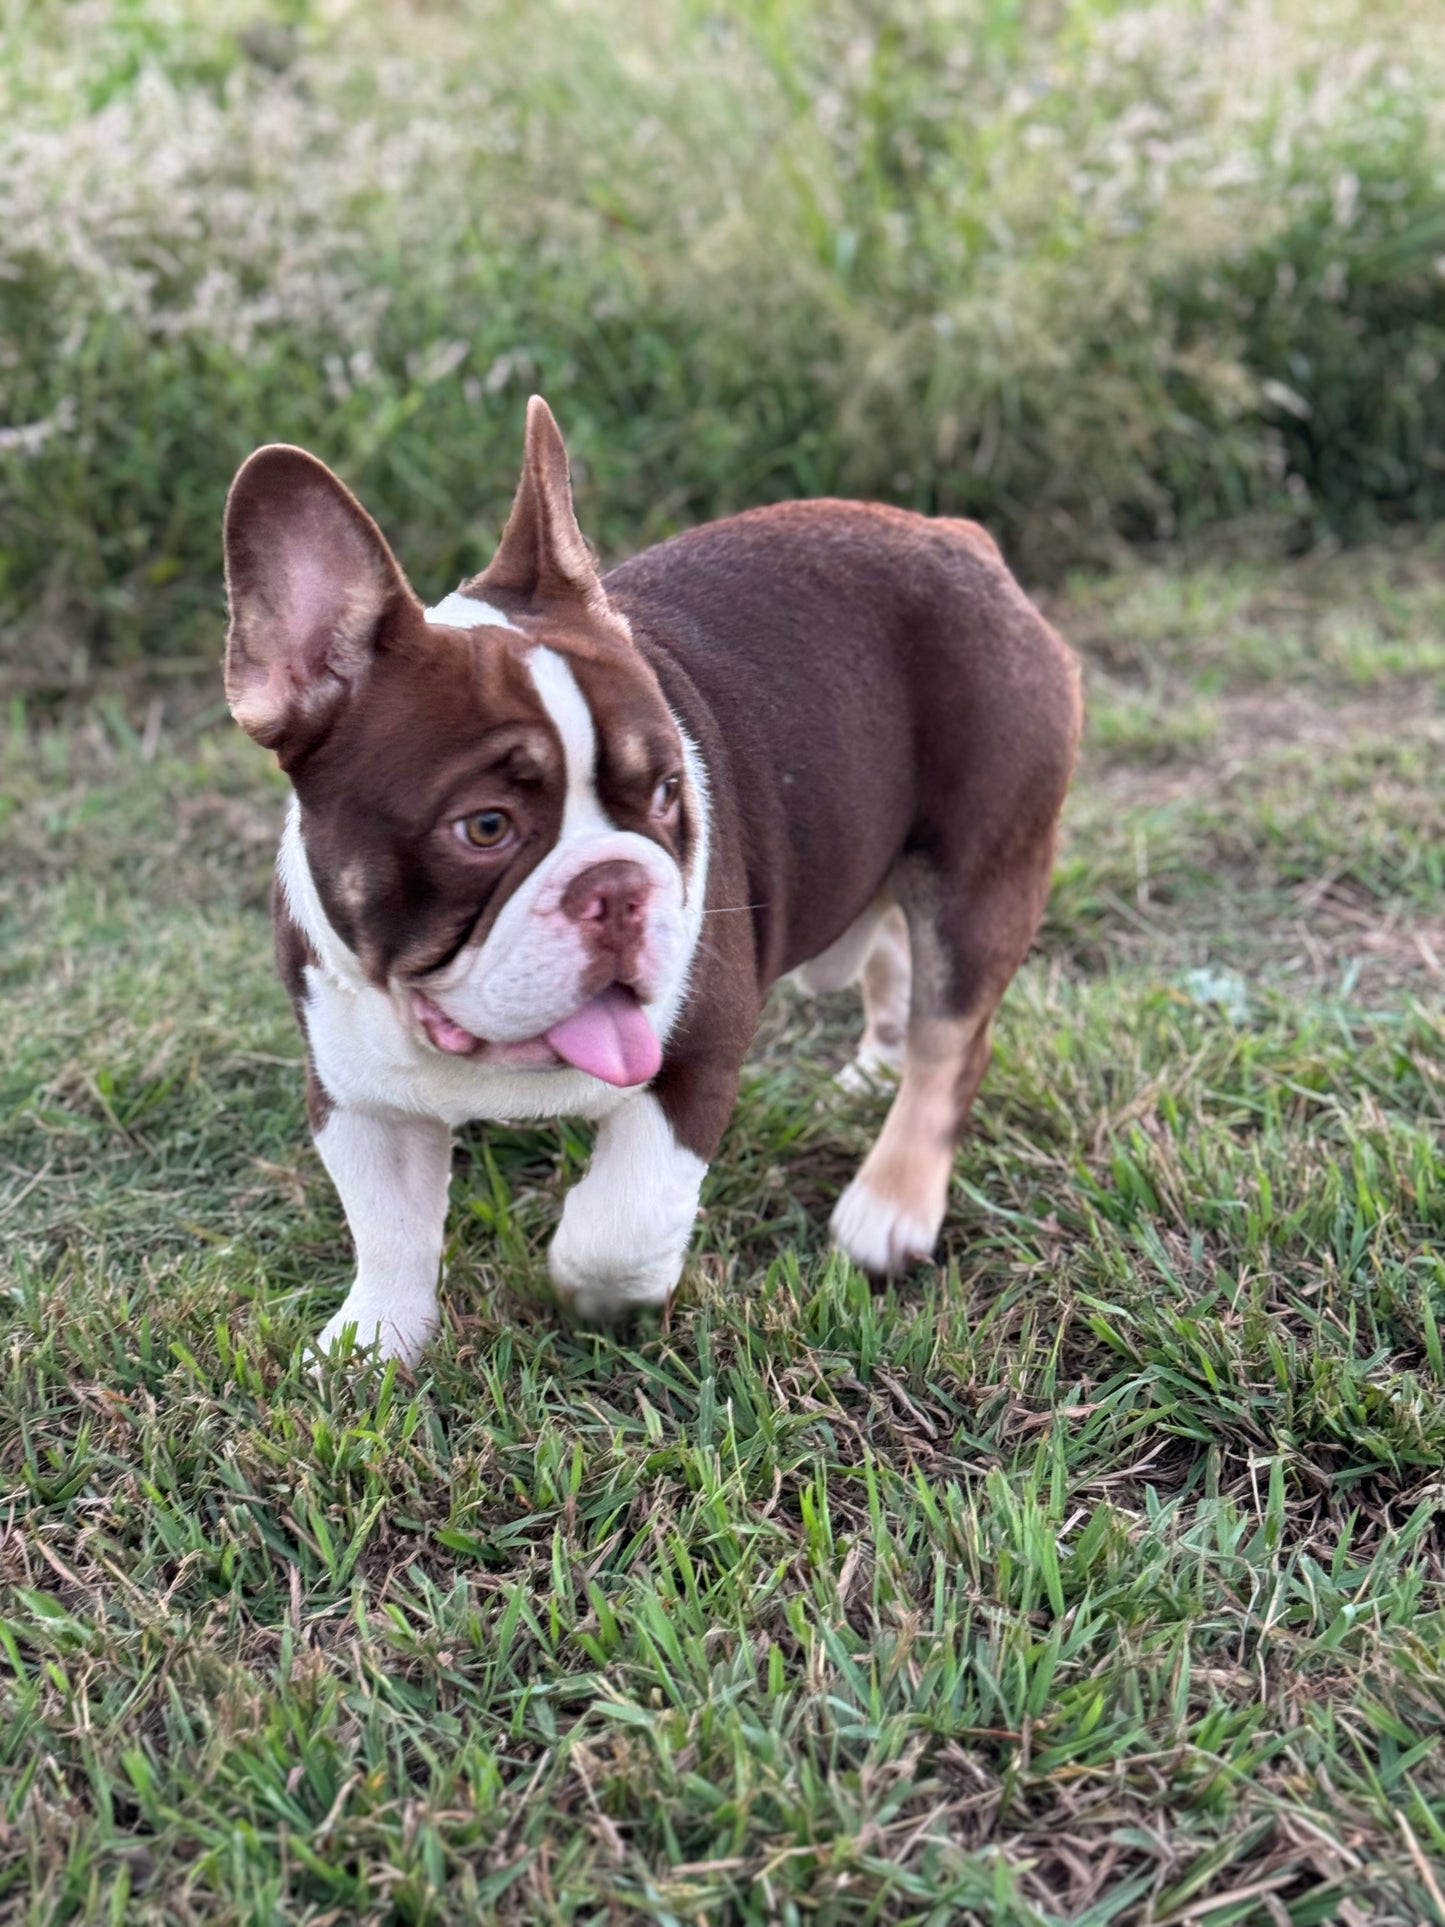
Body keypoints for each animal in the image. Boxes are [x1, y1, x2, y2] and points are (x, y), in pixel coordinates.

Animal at [223, 395, 1086, 1356]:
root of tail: (961, 539)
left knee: (952, 1038)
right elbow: (389, 1226)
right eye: (484, 827)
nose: (617, 885)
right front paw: (375, 1342)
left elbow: (620, 1219)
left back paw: (888, 1208)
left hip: (978, 869)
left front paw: (598, 1294)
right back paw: (874, 1070)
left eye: (670, 790)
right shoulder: (357, 1095)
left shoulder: (694, 1054)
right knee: (897, 956)